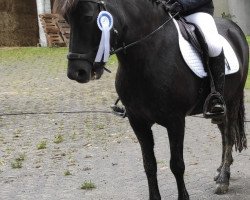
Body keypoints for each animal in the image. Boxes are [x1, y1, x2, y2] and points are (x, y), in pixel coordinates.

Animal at [54, 0, 248, 199]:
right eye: (67, 19)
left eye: (87, 17)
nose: (76, 72)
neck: (148, 55)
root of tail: (234, 28)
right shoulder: (138, 122)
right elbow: (149, 165)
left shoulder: (175, 121)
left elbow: (177, 165)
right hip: (218, 110)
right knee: (224, 133)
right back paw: (220, 172)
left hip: (232, 101)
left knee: (229, 135)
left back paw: (223, 179)